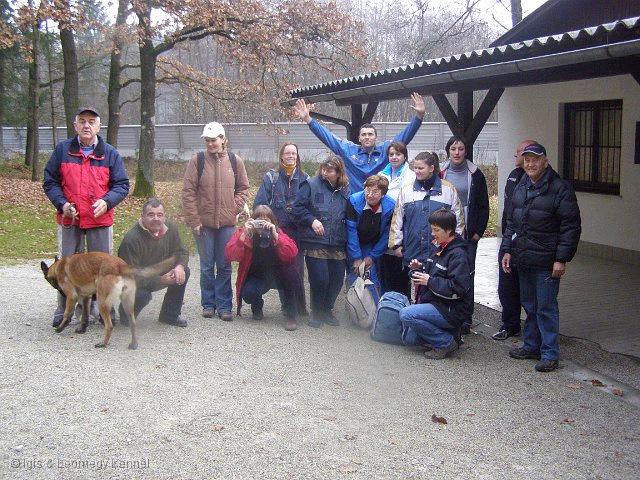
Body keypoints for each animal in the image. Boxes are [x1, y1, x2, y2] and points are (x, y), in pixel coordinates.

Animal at [41, 253, 176, 350]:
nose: (60, 292)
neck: (59, 265)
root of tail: (121, 266)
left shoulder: (72, 296)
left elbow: (67, 313)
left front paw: (61, 327)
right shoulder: (86, 298)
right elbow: (84, 316)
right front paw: (81, 329)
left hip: (102, 303)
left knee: (109, 326)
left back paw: (103, 343)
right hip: (127, 304)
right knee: (133, 323)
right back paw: (133, 344)